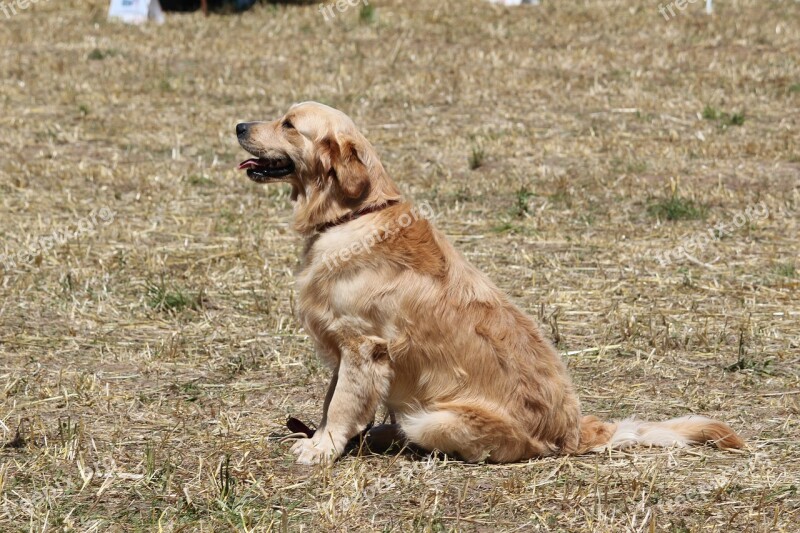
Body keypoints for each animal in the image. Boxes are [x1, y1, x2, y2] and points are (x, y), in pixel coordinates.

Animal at [236, 102, 744, 464]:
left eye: (288, 124)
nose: (239, 125)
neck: (353, 214)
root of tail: (574, 430)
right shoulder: (345, 347)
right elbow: (330, 400)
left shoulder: (363, 347)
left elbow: (341, 405)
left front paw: (321, 447)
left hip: (433, 418)